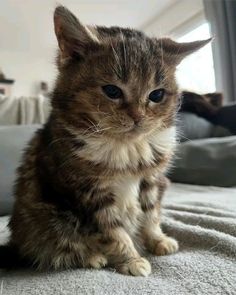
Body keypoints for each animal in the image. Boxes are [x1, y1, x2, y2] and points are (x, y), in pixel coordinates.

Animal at [0, 5, 210, 276]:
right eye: (112, 91)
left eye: (157, 95)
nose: (137, 117)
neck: (128, 148)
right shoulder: (89, 192)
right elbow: (112, 229)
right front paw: (131, 259)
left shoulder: (152, 180)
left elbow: (151, 212)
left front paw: (157, 239)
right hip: (49, 220)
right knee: (54, 249)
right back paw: (92, 257)